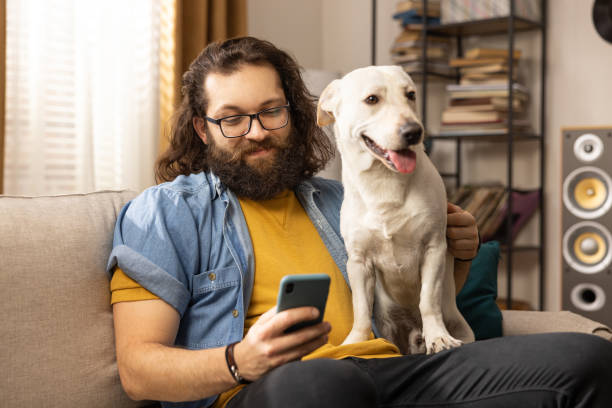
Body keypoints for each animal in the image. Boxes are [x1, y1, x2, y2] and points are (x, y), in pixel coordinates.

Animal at [318, 64, 476, 354]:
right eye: (372, 99)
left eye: (411, 95)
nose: (414, 132)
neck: (384, 183)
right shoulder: (358, 262)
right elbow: (361, 309)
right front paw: (357, 341)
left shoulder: (434, 248)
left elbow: (428, 300)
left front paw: (438, 336)